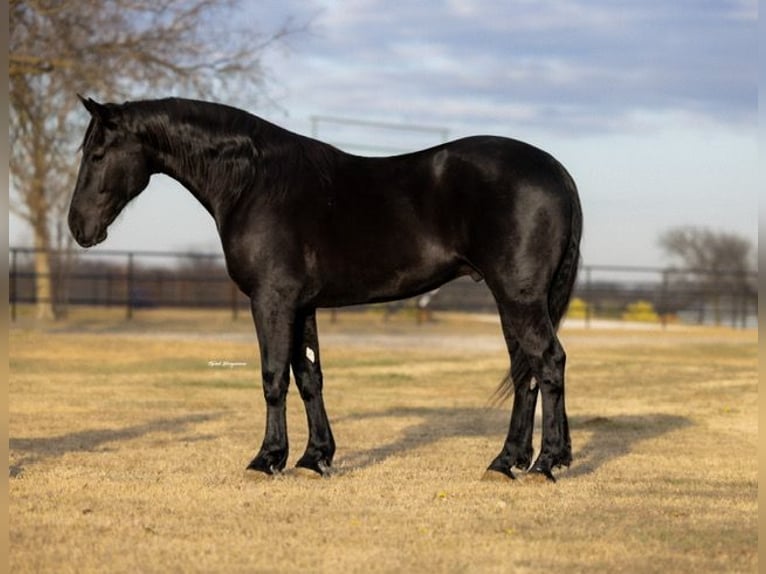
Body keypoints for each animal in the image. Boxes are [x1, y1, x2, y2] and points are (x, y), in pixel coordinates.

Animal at [68, 95, 582, 482]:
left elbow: (274, 377)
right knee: (524, 372)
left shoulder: (271, 300)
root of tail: (557, 170)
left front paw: (267, 459)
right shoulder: (302, 305)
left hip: (518, 297)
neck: (255, 182)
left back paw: (544, 464)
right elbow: (309, 377)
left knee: (548, 362)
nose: (78, 227)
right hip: (512, 299)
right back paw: (506, 461)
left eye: (97, 155)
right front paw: (314, 457)